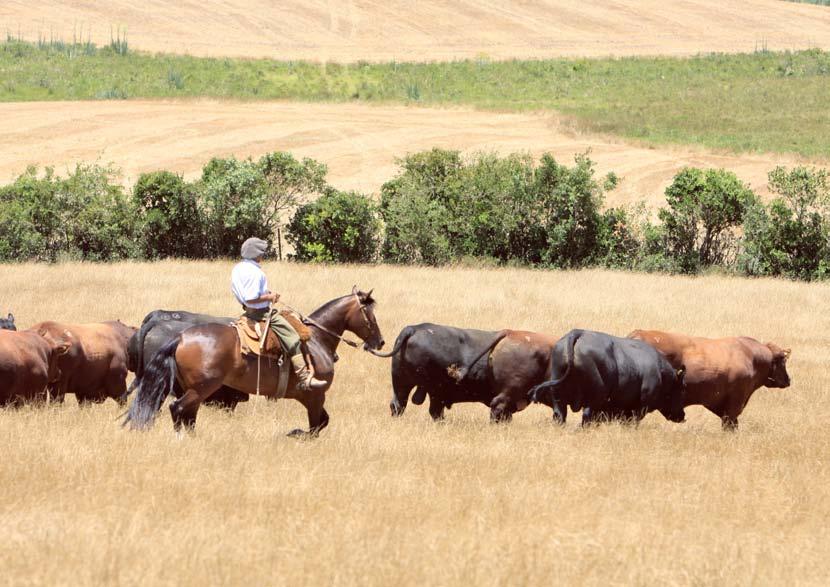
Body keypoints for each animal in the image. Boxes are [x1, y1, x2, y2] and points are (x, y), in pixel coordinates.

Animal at [125, 290, 386, 436]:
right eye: (370, 314)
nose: (380, 341)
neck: (317, 338)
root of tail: (180, 337)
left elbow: (321, 424)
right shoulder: (314, 396)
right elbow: (316, 427)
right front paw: (293, 433)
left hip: (193, 391)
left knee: (186, 414)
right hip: (200, 389)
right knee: (178, 409)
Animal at [528, 328, 688, 424]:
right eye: (681, 390)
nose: (682, 415)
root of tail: (577, 333)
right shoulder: (639, 407)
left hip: (558, 397)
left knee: (560, 415)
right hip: (594, 396)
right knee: (587, 416)